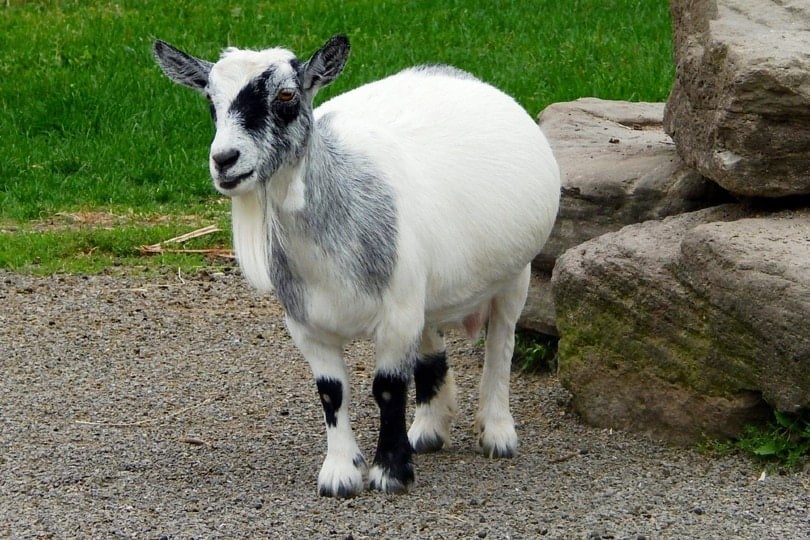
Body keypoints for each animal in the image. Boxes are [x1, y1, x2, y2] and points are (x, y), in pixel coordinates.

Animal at [153, 34, 560, 497]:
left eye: (287, 97)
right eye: (210, 100)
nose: (225, 159)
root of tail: (454, 73)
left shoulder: (396, 314)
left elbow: (388, 389)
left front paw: (391, 472)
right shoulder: (308, 324)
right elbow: (332, 392)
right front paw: (340, 473)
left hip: (515, 274)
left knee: (501, 344)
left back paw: (496, 432)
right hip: (424, 291)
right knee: (431, 342)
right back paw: (429, 428)